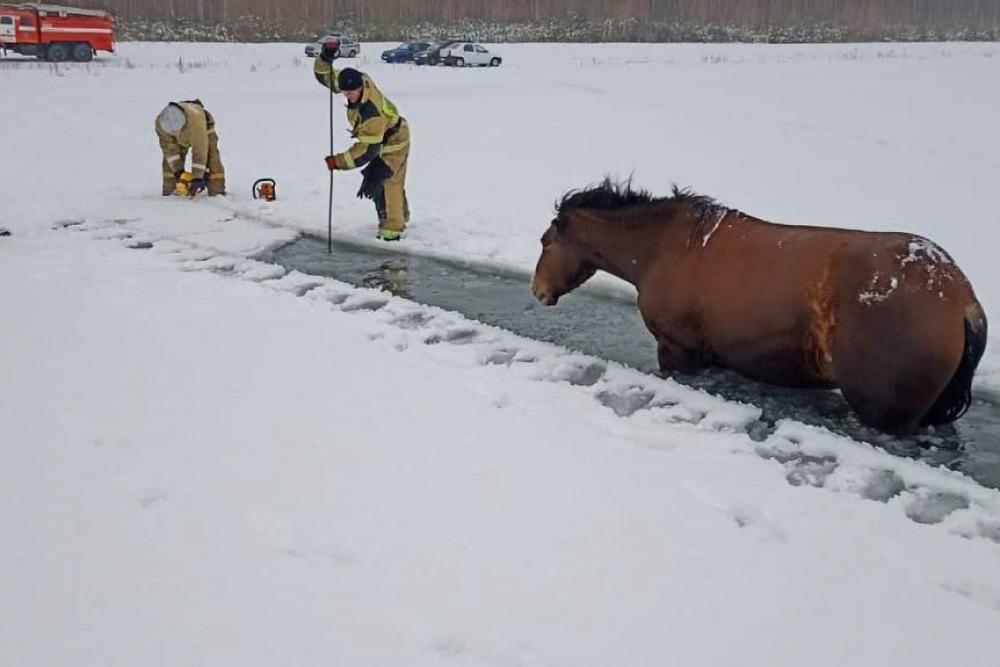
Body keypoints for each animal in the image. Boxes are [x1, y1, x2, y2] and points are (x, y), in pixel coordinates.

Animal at [528, 180, 988, 436]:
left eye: (546, 242)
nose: (537, 290)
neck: (661, 248)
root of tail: (959, 297)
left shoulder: (677, 350)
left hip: (886, 413)